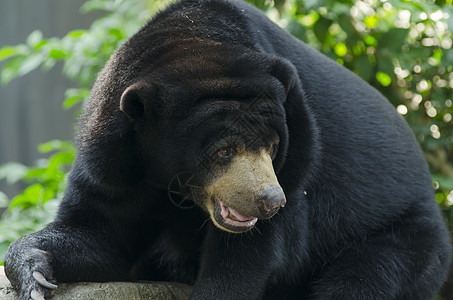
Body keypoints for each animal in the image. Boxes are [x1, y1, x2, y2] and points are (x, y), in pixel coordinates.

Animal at [4, 0, 452, 298]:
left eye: (273, 146)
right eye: (223, 151)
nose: (270, 200)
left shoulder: (298, 165)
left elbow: (245, 261)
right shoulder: (114, 162)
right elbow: (100, 233)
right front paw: (35, 273)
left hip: (401, 238)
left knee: (361, 280)